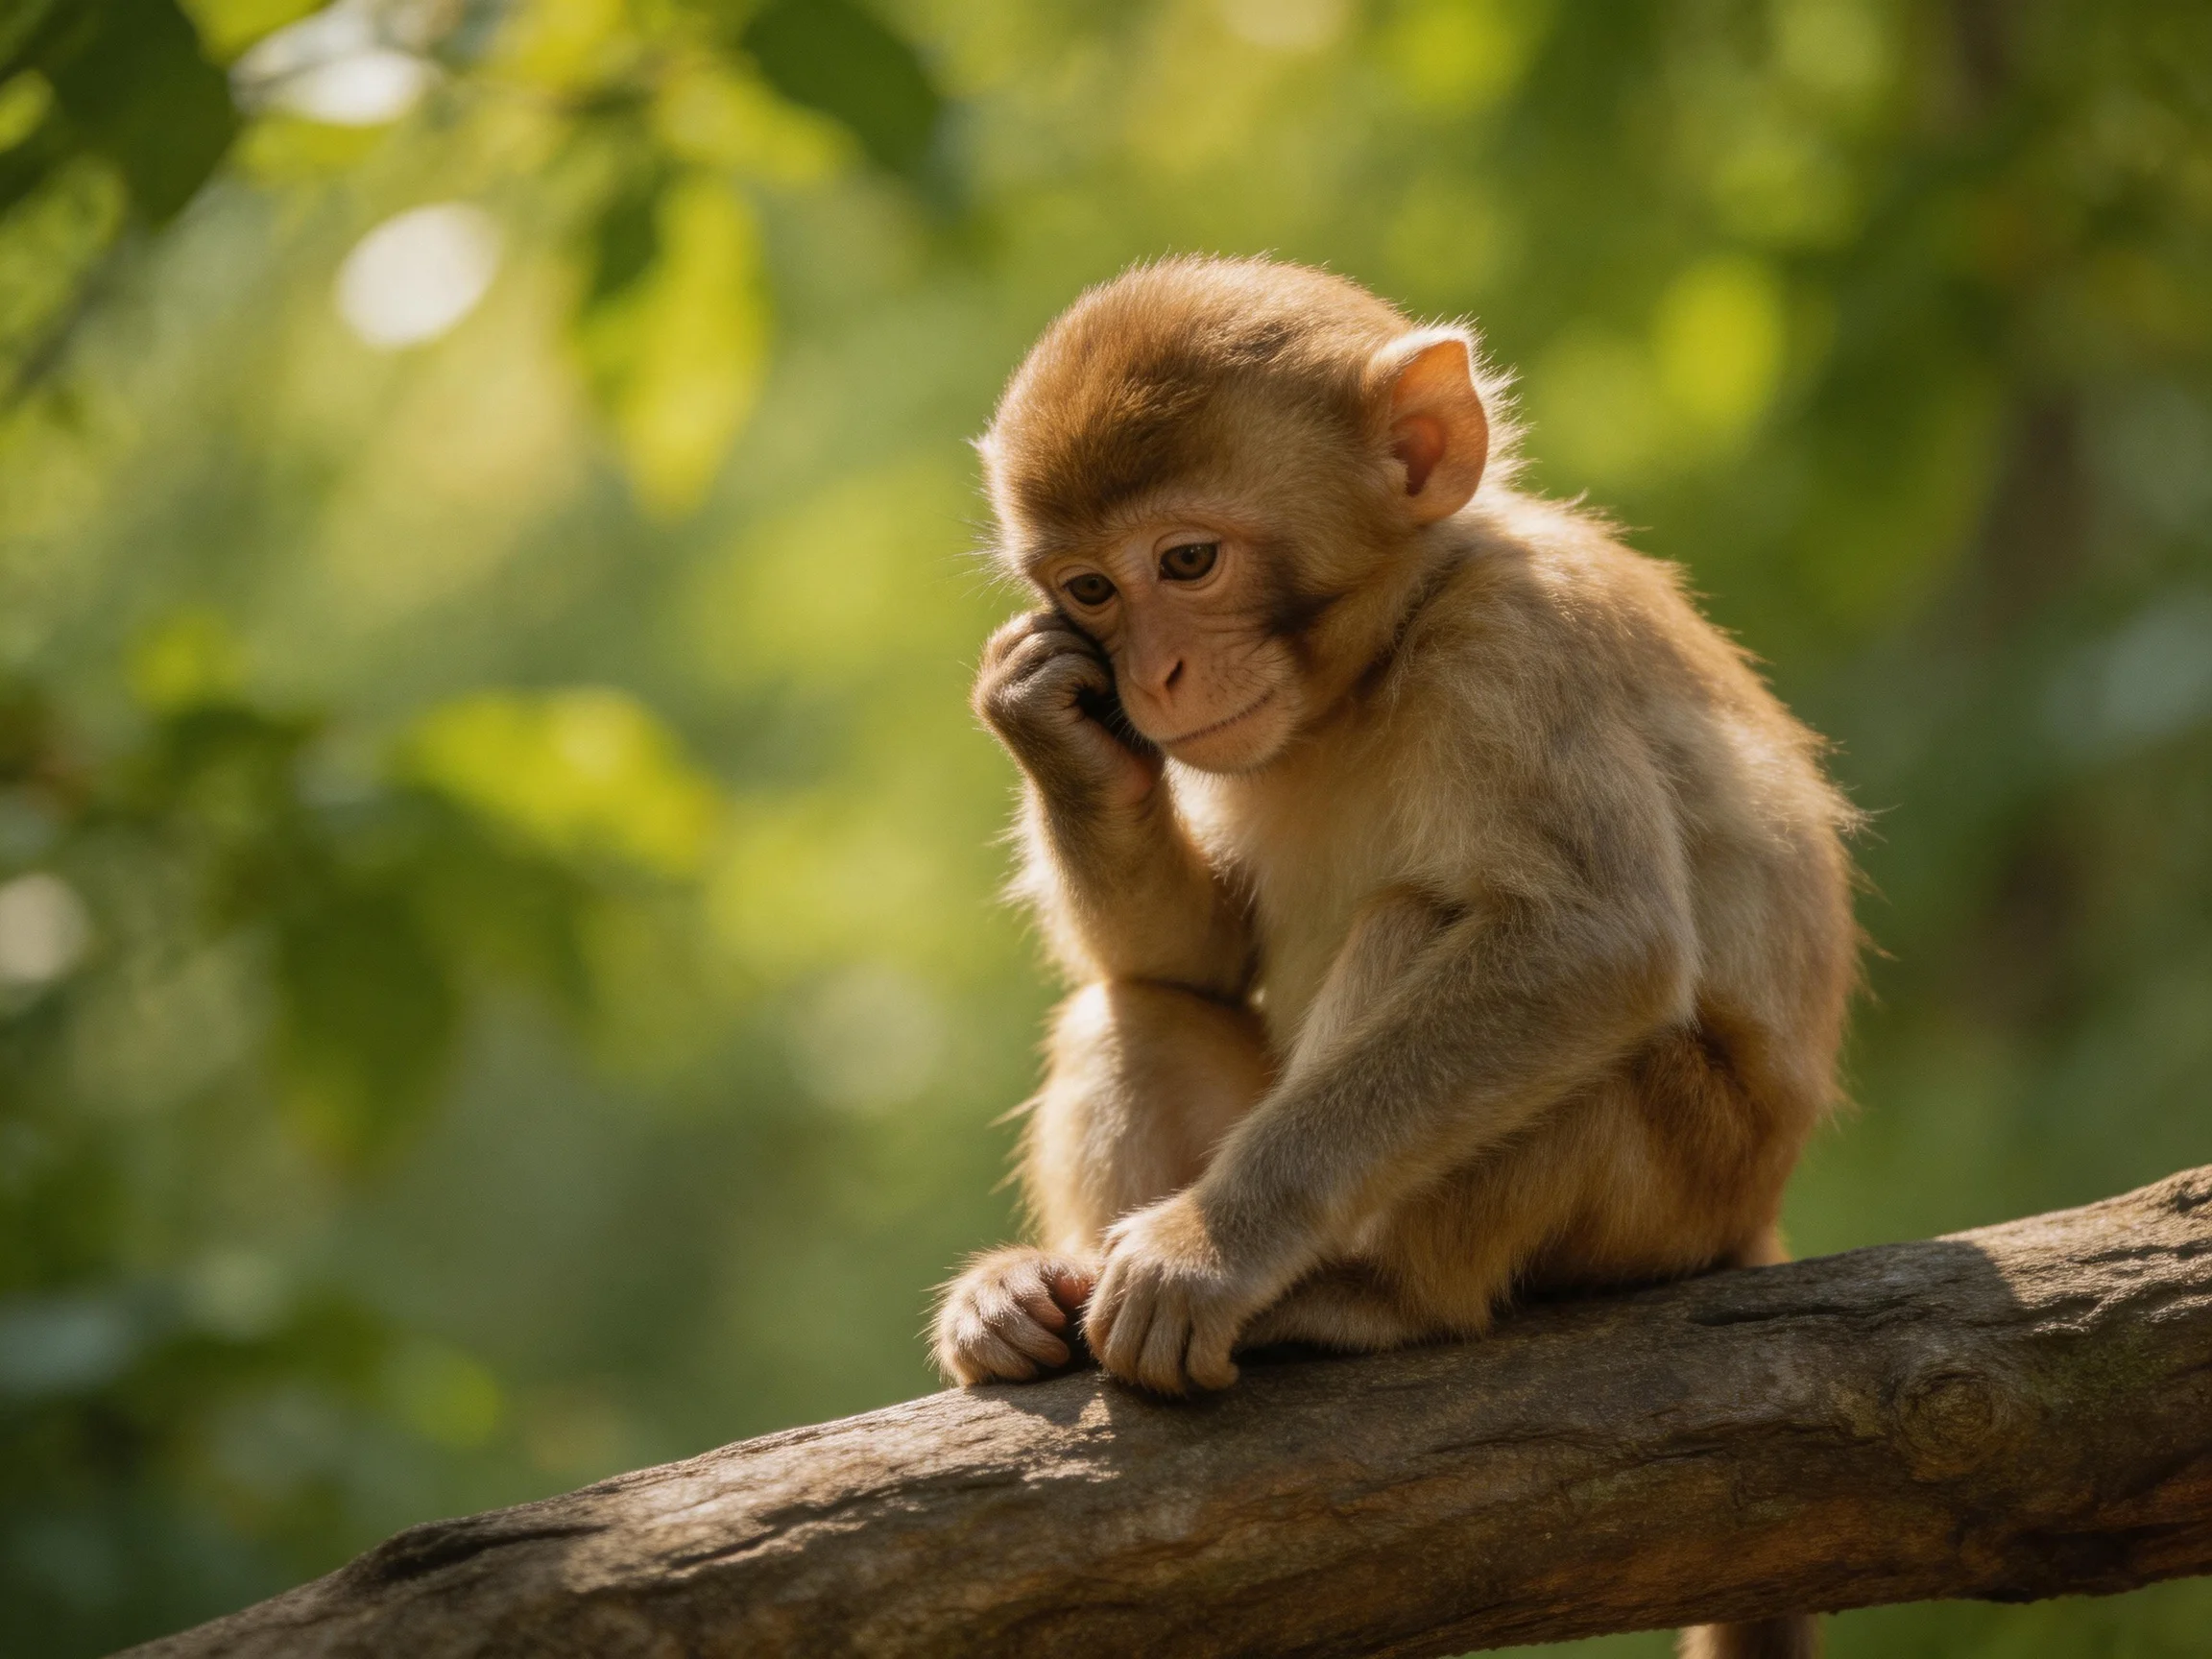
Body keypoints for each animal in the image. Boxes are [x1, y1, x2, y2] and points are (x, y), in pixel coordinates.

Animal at [932, 256, 1856, 1659]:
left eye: (1187, 561)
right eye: (1089, 591)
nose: (1157, 674)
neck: (1376, 664)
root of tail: (1753, 1208)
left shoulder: (1516, 650)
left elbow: (1594, 941)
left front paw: (1211, 1246)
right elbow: (1199, 957)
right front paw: (1052, 728)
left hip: (1669, 1174)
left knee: (1426, 925)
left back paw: (1368, 1296)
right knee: (1137, 1010)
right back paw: (1040, 1294)